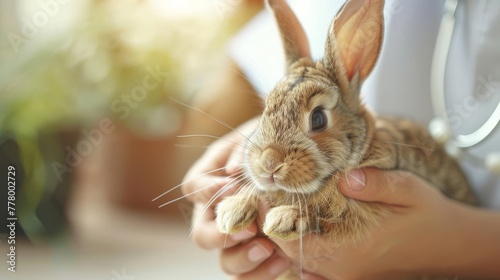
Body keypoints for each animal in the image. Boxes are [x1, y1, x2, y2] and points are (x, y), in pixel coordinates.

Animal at [214, 0, 476, 276]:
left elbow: (333, 211)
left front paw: (284, 219)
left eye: (318, 118)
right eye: (265, 109)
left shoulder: (365, 210)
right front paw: (232, 212)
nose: (269, 163)